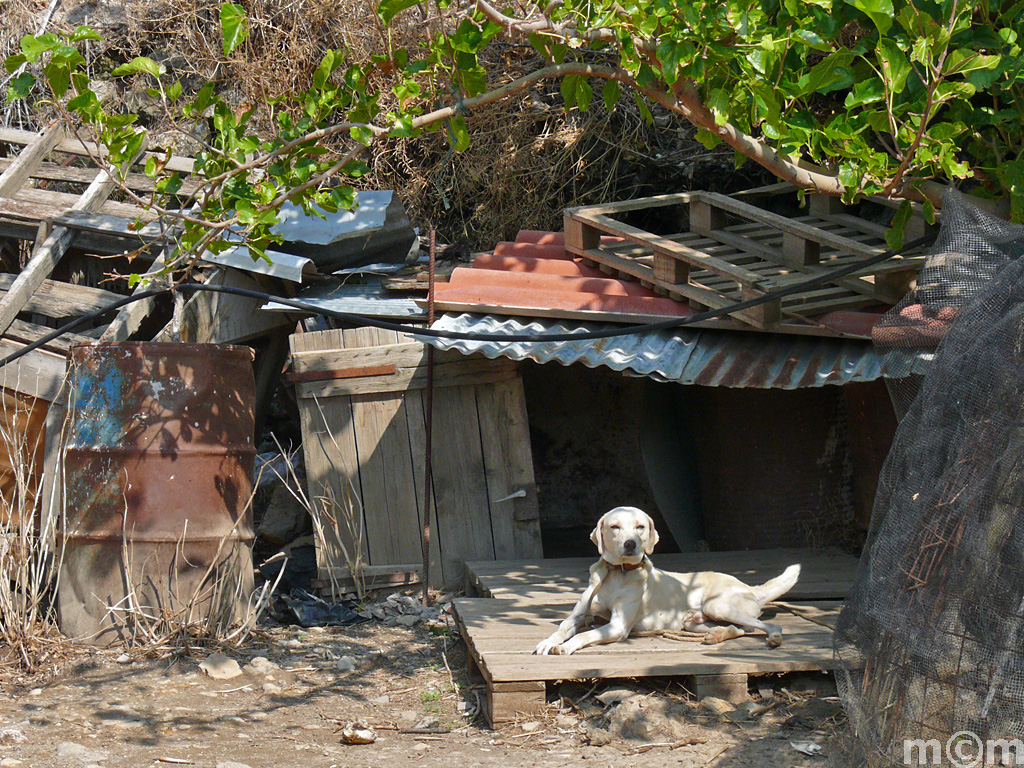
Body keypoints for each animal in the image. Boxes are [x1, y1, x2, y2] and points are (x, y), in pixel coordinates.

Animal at [532, 507, 802, 659]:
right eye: (614, 526)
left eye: (640, 527)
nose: (630, 544)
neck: (617, 573)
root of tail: (751, 588)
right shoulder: (577, 616)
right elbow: (561, 629)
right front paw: (548, 642)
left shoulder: (617, 626)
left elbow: (583, 635)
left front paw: (566, 647)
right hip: (694, 622)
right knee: (740, 629)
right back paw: (717, 635)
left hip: (718, 606)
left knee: (767, 626)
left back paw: (773, 638)